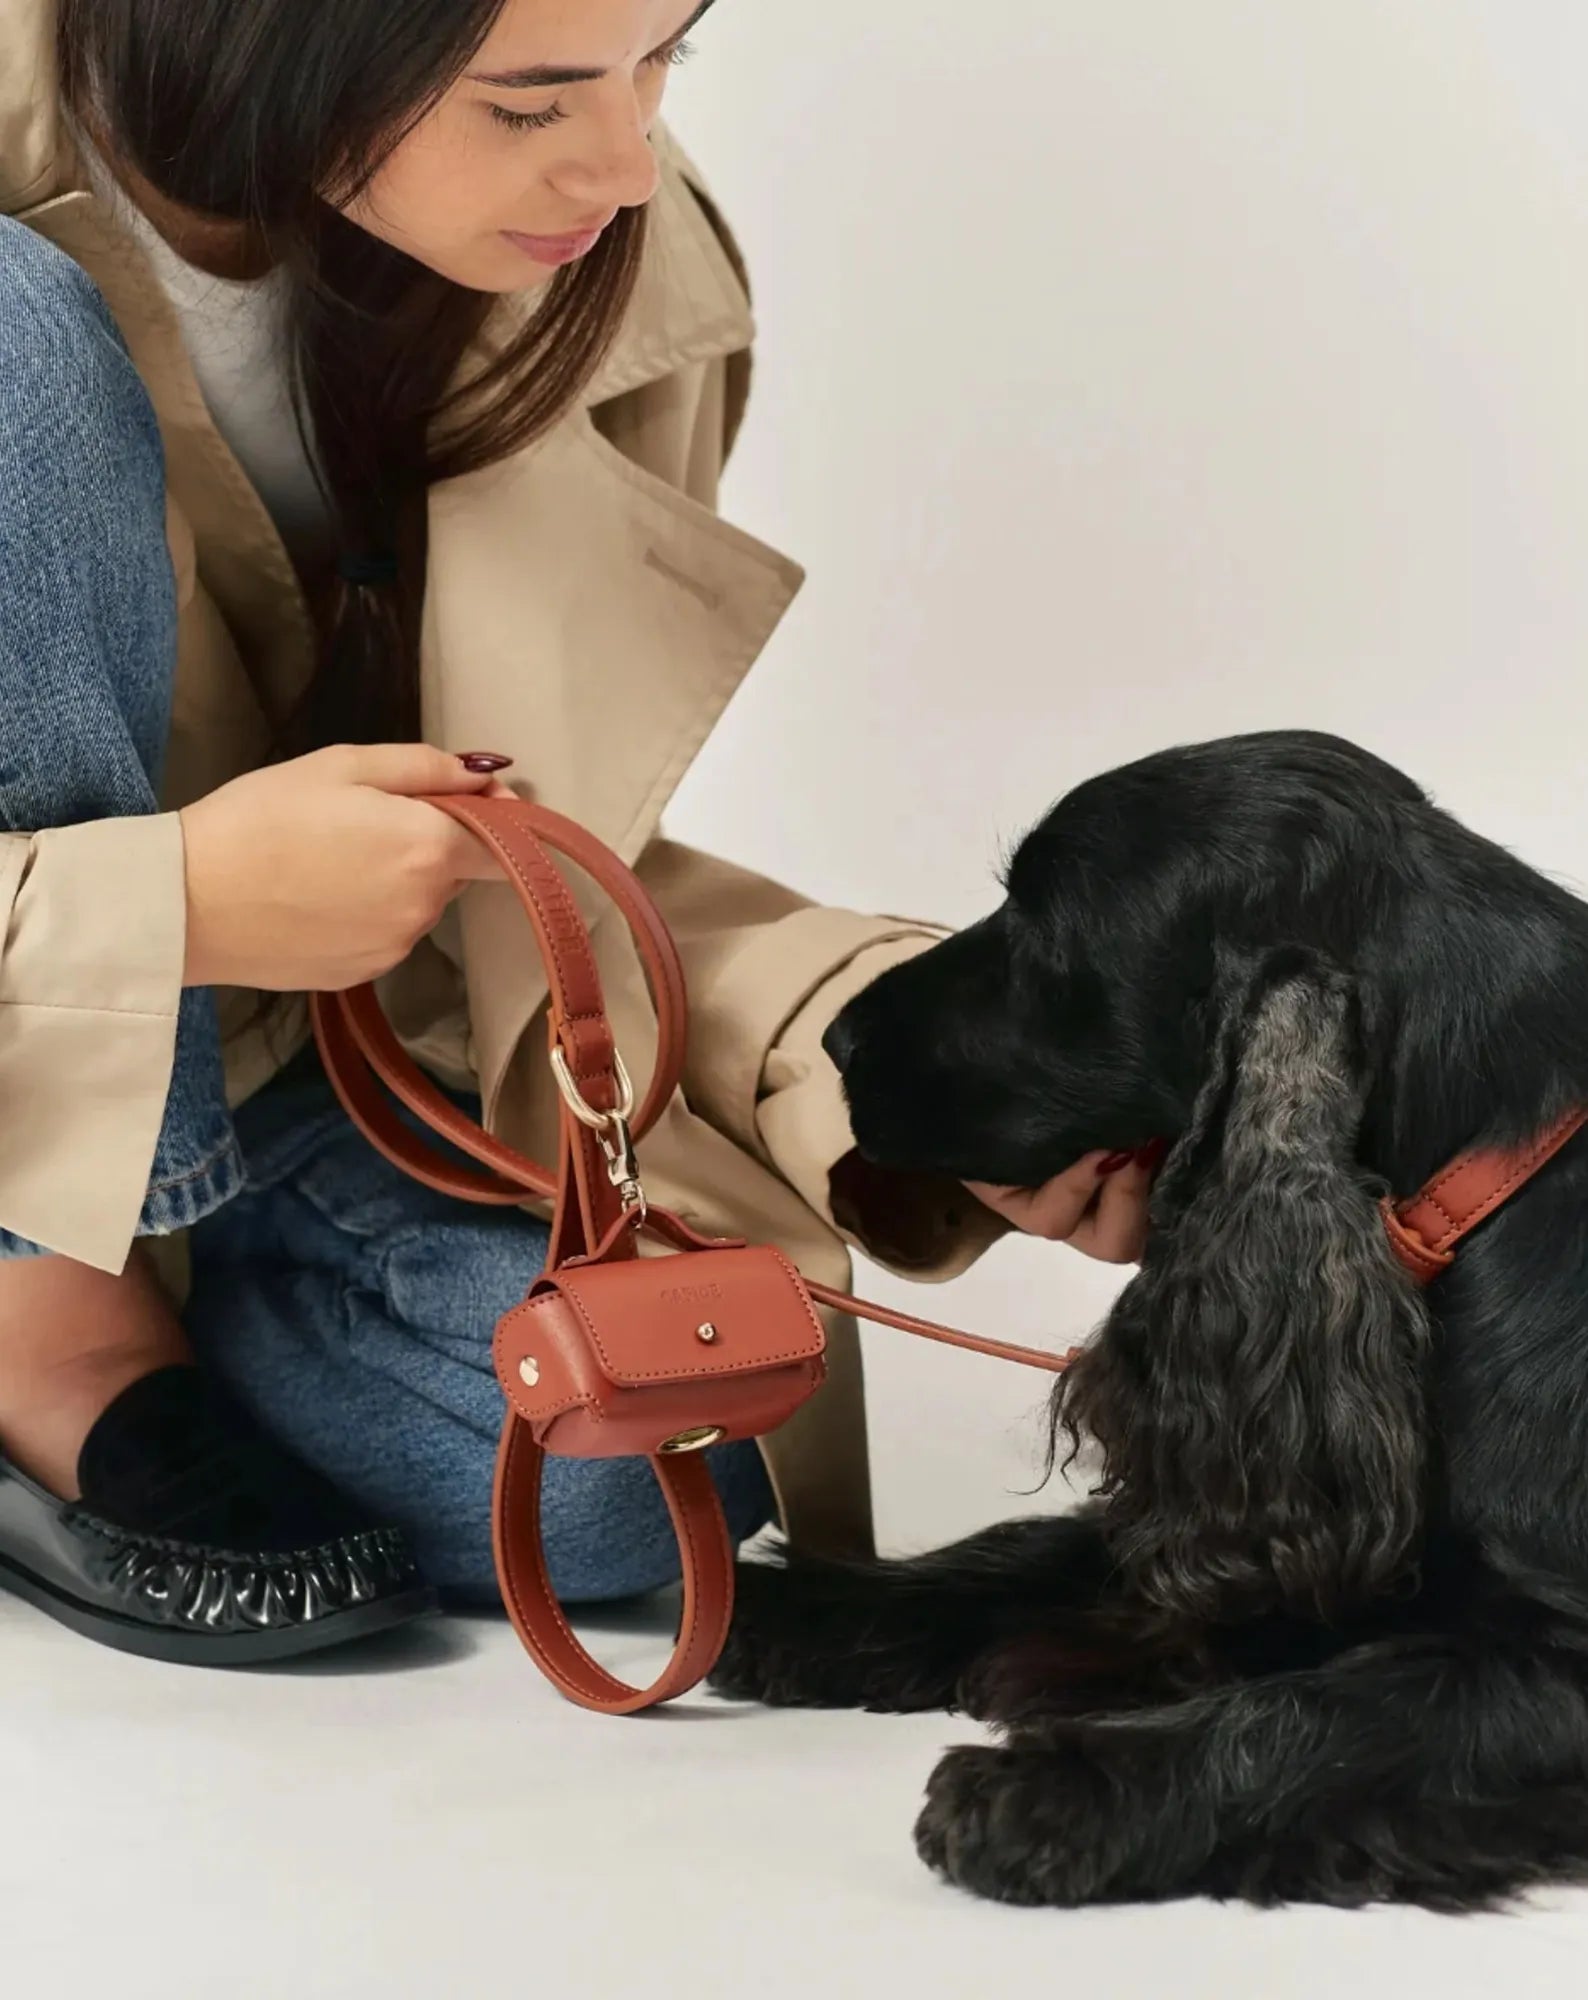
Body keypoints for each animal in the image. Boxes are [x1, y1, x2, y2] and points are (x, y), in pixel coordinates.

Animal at [709, 729, 1588, 1912]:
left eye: (1045, 920)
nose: (838, 1035)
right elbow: (1024, 1549)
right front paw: (791, 1608)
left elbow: (1337, 1712)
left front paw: (1063, 1789)